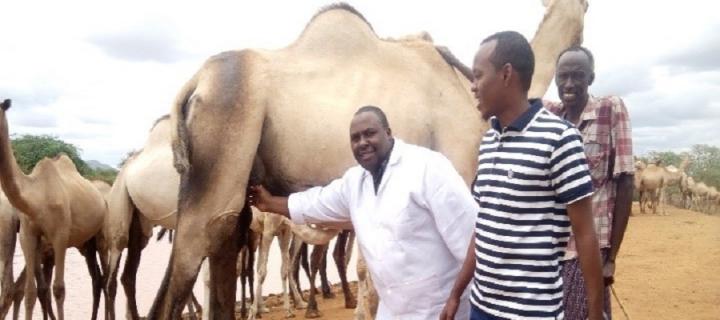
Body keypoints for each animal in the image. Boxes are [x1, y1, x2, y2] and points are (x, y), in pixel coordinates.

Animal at [0, 99, 105, 320]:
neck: (35, 198)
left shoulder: (60, 236)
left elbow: (58, 289)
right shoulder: (28, 235)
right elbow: (32, 291)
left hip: (101, 237)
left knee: (103, 278)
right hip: (85, 244)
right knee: (97, 278)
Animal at [149, 1, 588, 318]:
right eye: (584, 8)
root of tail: (196, 83)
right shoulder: (459, 170)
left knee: (221, 255)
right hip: (220, 150)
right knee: (186, 267)